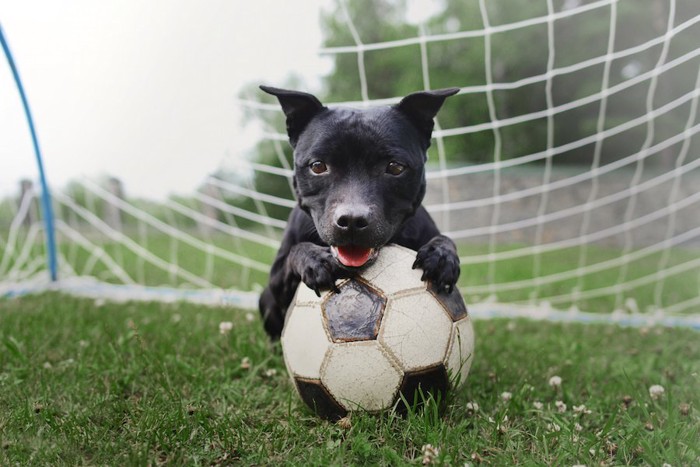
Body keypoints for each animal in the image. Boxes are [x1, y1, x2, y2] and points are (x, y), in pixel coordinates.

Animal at [258, 86, 460, 338]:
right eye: (318, 166)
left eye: (395, 167)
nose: (352, 220)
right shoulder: (276, 285)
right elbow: (295, 252)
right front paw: (314, 259)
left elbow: (446, 238)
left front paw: (442, 255)